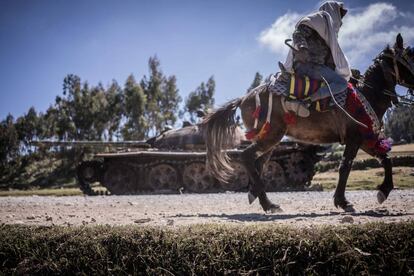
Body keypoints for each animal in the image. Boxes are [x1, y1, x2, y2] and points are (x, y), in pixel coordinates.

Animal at [201, 33, 414, 212]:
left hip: (270, 137)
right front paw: (342, 201)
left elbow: (386, 160)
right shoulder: (355, 138)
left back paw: (256, 194)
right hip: (271, 135)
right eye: (410, 56)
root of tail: (244, 98)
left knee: (259, 161)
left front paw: (383, 191)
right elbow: (345, 167)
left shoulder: (365, 139)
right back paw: (268, 203)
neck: (367, 94)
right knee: (247, 157)